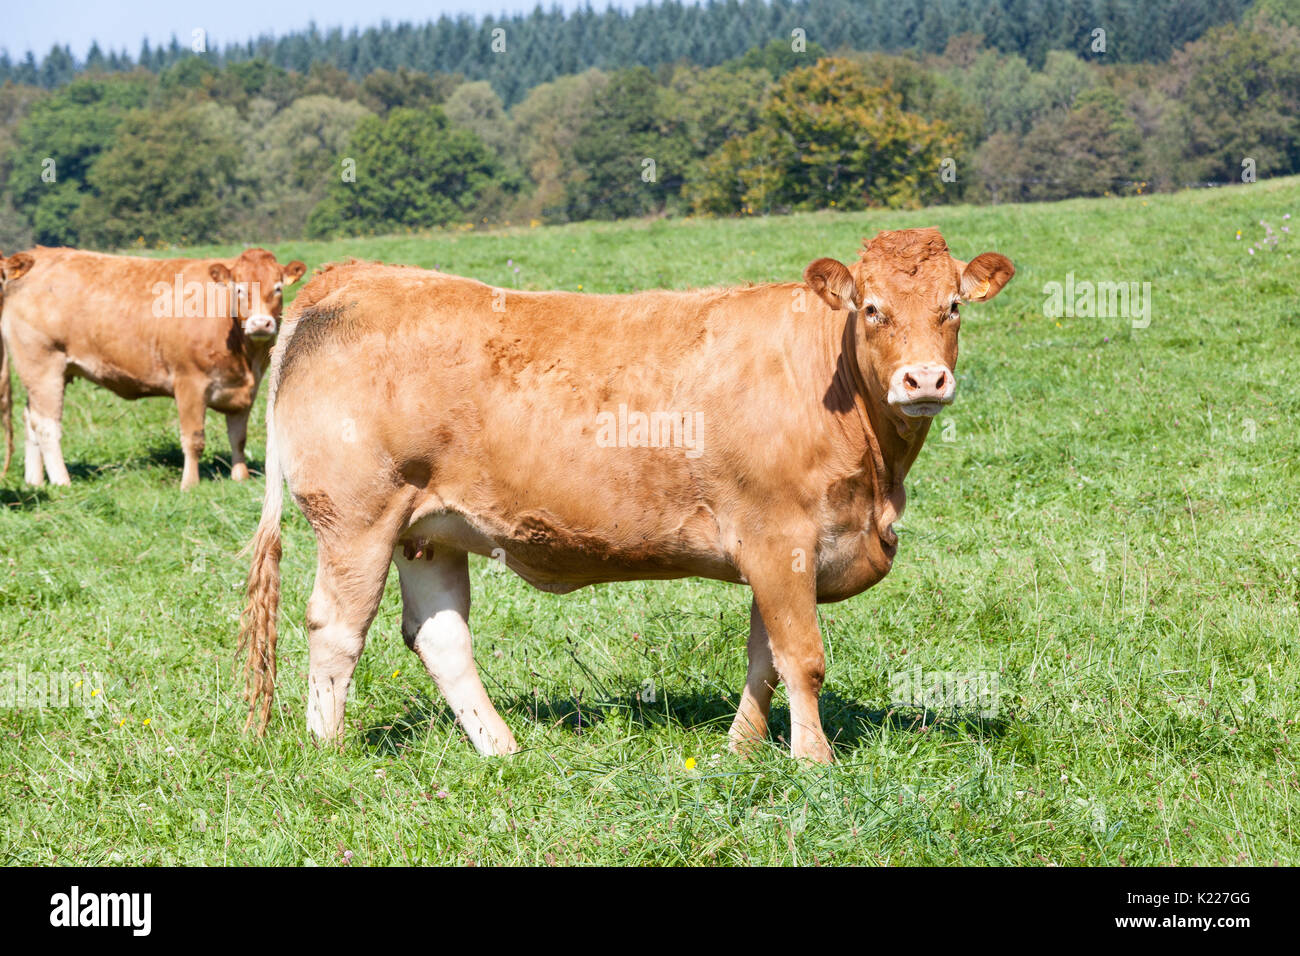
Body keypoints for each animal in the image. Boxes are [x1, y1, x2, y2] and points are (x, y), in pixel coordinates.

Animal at [0, 247, 305, 489]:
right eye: (239, 289)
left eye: (278, 288)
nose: (260, 324)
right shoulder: (189, 383)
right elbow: (193, 438)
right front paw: (189, 484)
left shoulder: (246, 389)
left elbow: (239, 437)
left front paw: (240, 477)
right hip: (43, 365)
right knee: (47, 426)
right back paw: (62, 481)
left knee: (30, 419)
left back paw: (35, 481)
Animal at [244, 227, 1013, 759]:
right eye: (873, 308)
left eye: (951, 307)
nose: (924, 380)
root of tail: (355, 277)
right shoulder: (779, 538)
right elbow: (802, 658)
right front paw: (813, 761)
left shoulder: (775, 550)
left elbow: (763, 659)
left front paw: (740, 752)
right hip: (358, 520)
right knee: (336, 629)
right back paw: (329, 749)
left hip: (425, 530)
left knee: (440, 636)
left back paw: (501, 747)